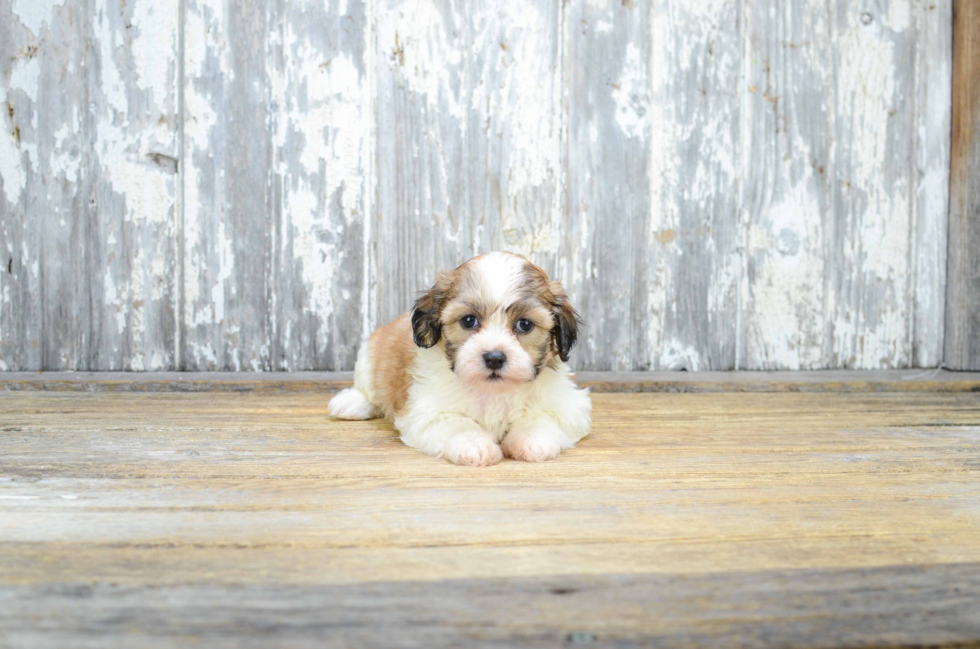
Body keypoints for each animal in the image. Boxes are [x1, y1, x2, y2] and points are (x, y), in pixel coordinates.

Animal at [328, 249, 588, 466]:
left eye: (524, 324)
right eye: (468, 320)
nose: (494, 358)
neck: (492, 391)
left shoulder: (567, 406)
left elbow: (541, 417)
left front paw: (533, 439)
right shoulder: (427, 410)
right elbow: (457, 423)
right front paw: (474, 444)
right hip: (369, 355)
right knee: (369, 388)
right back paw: (351, 403)